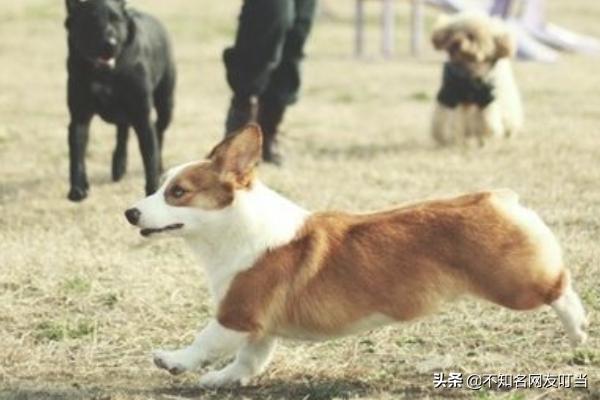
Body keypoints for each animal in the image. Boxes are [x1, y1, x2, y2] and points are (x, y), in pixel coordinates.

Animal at [65, 0, 175, 201]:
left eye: (116, 19)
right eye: (90, 20)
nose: (110, 44)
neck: (106, 74)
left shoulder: (142, 117)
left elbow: (149, 157)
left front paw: (152, 190)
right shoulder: (79, 117)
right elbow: (77, 153)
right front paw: (77, 188)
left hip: (166, 104)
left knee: (159, 132)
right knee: (123, 132)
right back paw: (119, 166)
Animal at [125, 125, 586, 387]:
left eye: (178, 192)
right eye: (159, 186)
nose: (129, 212)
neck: (235, 229)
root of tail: (499, 198)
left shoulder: (236, 314)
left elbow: (204, 341)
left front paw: (173, 361)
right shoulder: (259, 328)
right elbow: (248, 362)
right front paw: (219, 381)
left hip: (514, 285)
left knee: (559, 286)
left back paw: (579, 328)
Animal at [431, 12, 523, 146]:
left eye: (471, 36)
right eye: (453, 33)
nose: (456, 42)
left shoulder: (486, 98)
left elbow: (487, 121)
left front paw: (485, 134)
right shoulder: (448, 95)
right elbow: (442, 120)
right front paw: (443, 137)